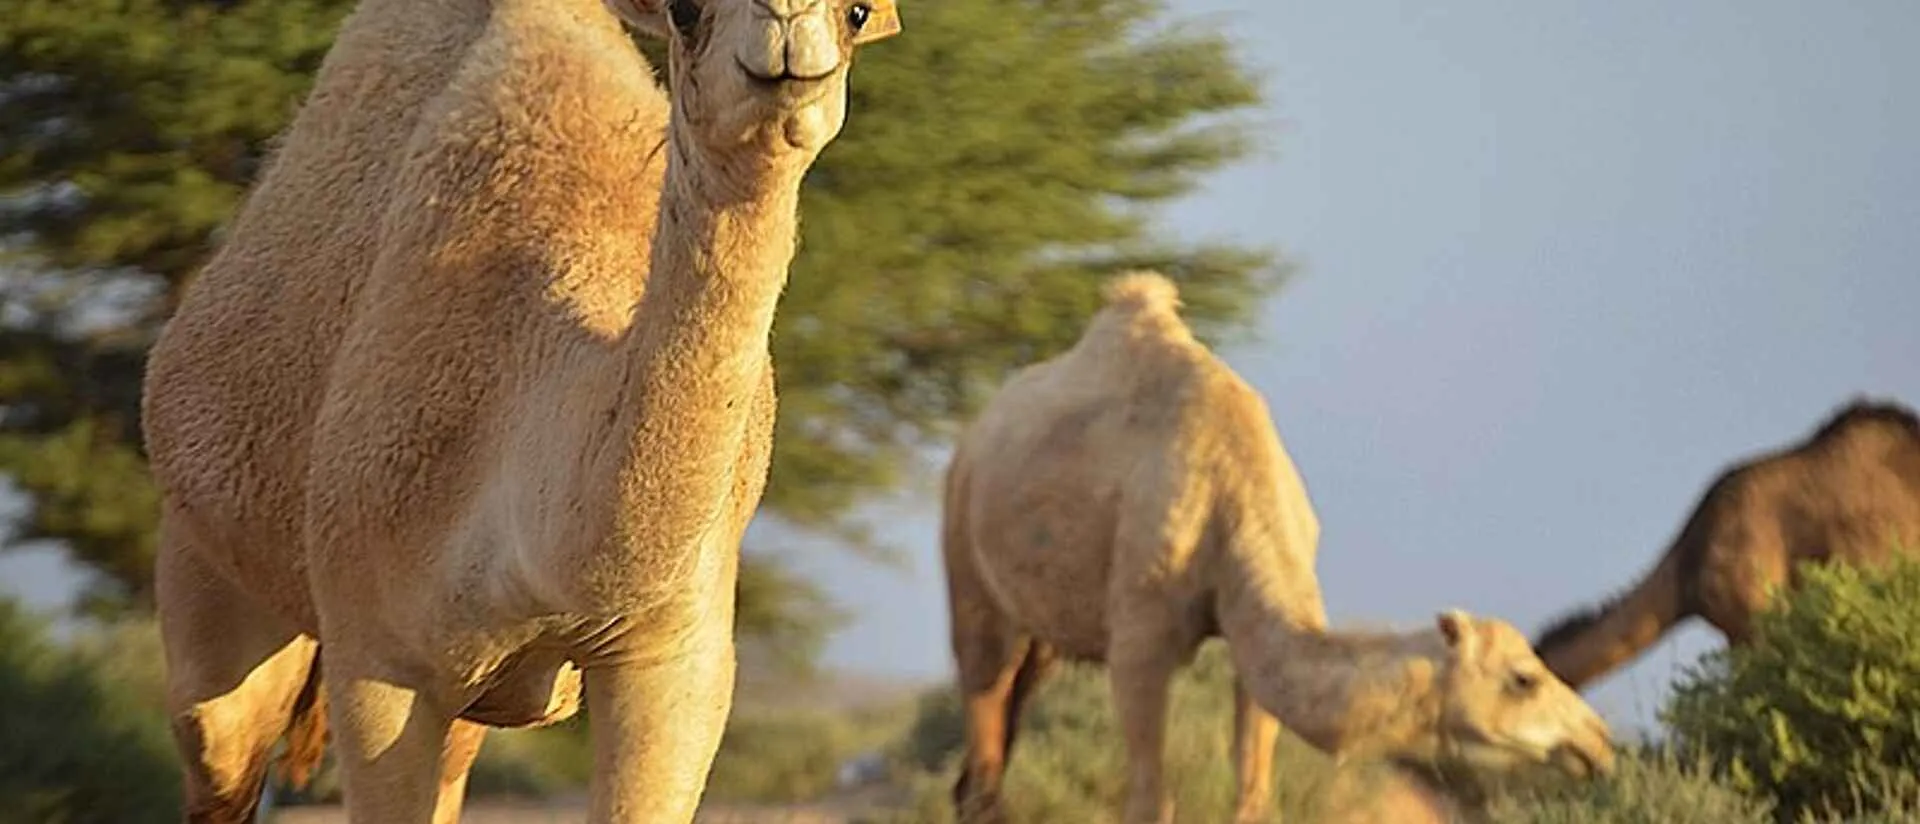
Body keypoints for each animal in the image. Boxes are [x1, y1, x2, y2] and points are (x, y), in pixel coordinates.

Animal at [137, 0, 899, 820]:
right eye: (685, 12)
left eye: (856, 12)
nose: (788, 32)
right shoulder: (378, 658)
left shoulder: (677, 654)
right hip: (210, 567)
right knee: (220, 751)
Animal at [940, 272, 1616, 824]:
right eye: (1524, 678)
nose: (1598, 743)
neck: (1234, 496)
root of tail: (971, 439)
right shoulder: (1139, 640)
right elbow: (1150, 799)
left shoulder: (1248, 637)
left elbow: (1254, 792)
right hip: (970, 574)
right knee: (984, 728)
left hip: (1045, 634)